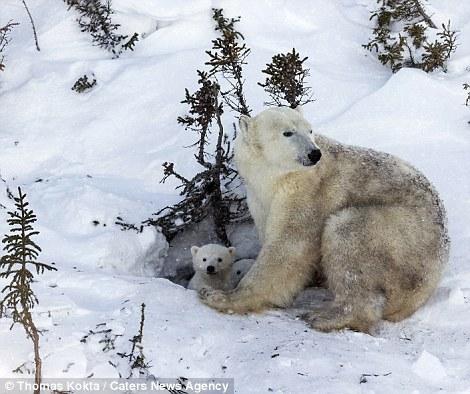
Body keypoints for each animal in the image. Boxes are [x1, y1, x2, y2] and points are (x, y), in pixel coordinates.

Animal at [198, 106, 448, 330]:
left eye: (309, 130)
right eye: (288, 132)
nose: (314, 153)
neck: (274, 178)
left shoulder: (307, 194)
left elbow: (287, 247)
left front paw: (220, 296)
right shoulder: (259, 199)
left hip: (400, 234)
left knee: (347, 233)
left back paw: (324, 316)